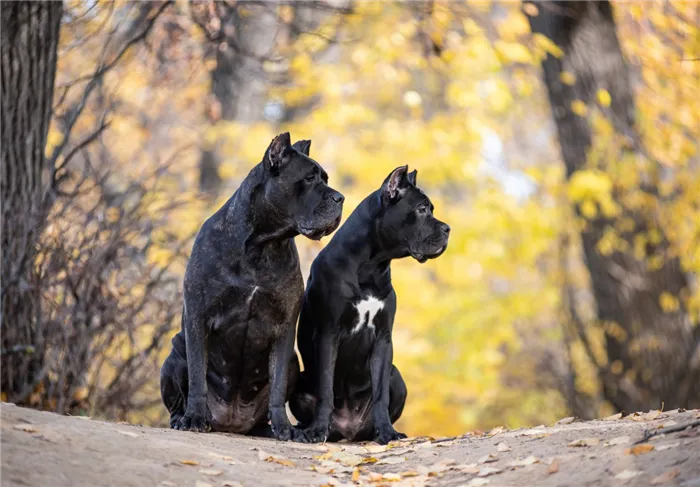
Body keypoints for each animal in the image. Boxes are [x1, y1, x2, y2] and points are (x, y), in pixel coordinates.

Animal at [159, 133, 344, 442]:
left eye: (325, 179)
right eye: (308, 179)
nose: (340, 198)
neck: (262, 245)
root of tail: (231, 423)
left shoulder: (284, 328)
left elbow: (277, 384)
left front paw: (284, 428)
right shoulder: (198, 316)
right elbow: (197, 376)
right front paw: (193, 417)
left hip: (293, 363)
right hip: (174, 356)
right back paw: (183, 418)